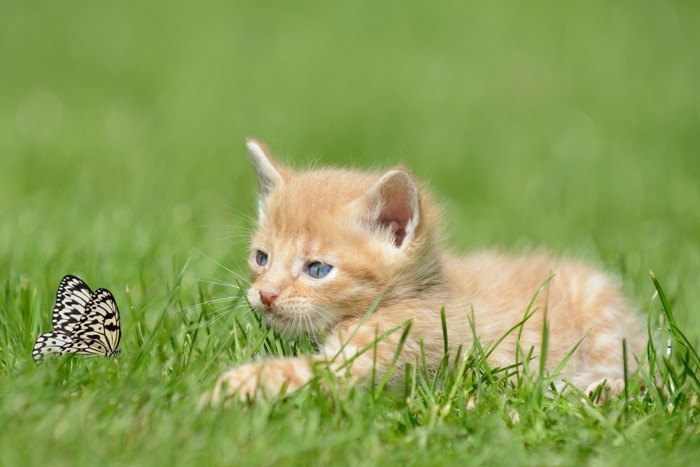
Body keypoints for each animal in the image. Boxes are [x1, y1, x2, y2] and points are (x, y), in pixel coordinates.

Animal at [201, 139, 640, 406]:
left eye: (317, 269)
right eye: (262, 259)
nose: (266, 295)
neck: (419, 292)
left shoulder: (390, 349)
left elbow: (299, 373)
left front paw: (221, 390)